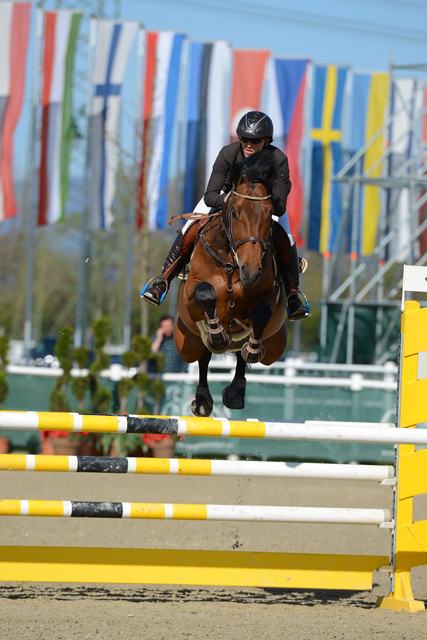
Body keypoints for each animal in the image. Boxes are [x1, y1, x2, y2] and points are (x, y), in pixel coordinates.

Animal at [176, 146, 290, 416]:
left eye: (269, 214)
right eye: (235, 213)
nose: (251, 272)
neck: (231, 262)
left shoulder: (269, 299)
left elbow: (260, 314)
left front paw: (252, 348)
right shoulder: (191, 295)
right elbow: (205, 293)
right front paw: (218, 334)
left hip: (276, 347)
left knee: (240, 355)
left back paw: (236, 392)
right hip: (185, 341)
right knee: (203, 355)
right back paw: (203, 399)